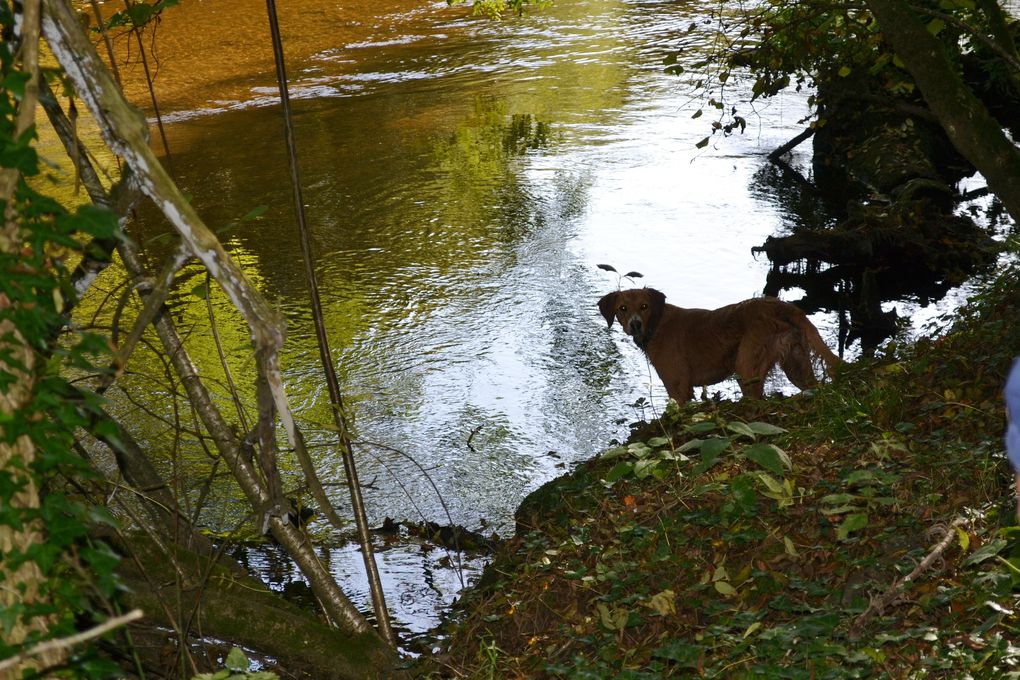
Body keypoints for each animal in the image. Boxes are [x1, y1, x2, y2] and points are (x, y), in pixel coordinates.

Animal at [595, 289, 836, 403]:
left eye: (644, 306)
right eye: (622, 308)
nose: (635, 324)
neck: (657, 322)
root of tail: (779, 305)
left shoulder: (678, 387)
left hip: (746, 367)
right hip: (797, 366)